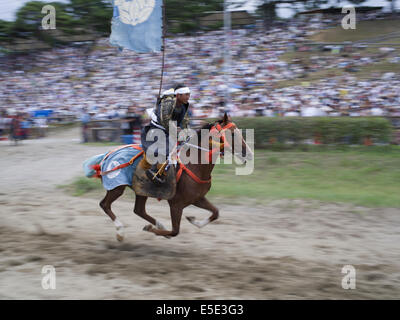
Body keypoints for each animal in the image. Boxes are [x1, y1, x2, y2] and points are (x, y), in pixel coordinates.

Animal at [98, 112, 252, 240]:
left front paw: (194, 221)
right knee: (105, 204)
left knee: (139, 210)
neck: (194, 165)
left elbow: (215, 212)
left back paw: (159, 224)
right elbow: (175, 231)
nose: (248, 154)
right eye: (232, 134)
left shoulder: (197, 198)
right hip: (117, 187)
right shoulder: (176, 204)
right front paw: (152, 230)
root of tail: (110, 153)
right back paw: (120, 231)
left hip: (141, 190)